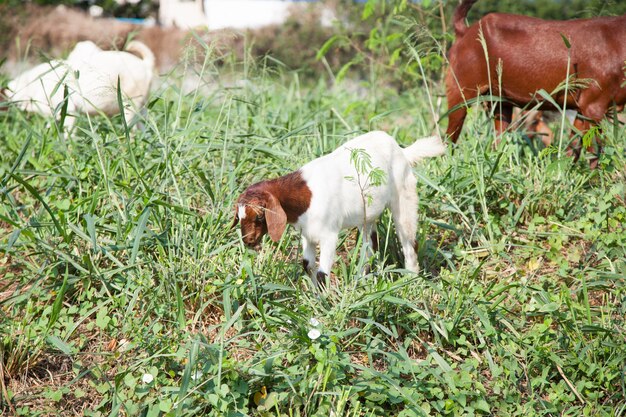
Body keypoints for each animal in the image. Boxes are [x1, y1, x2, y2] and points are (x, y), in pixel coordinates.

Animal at [444, 0, 624, 166]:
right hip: (460, 92)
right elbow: (594, 154)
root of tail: (466, 31)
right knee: (449, 139)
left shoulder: (582, 108)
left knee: (500, 140)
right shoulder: (594, 106)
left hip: (500, 102)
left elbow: (572, 150)